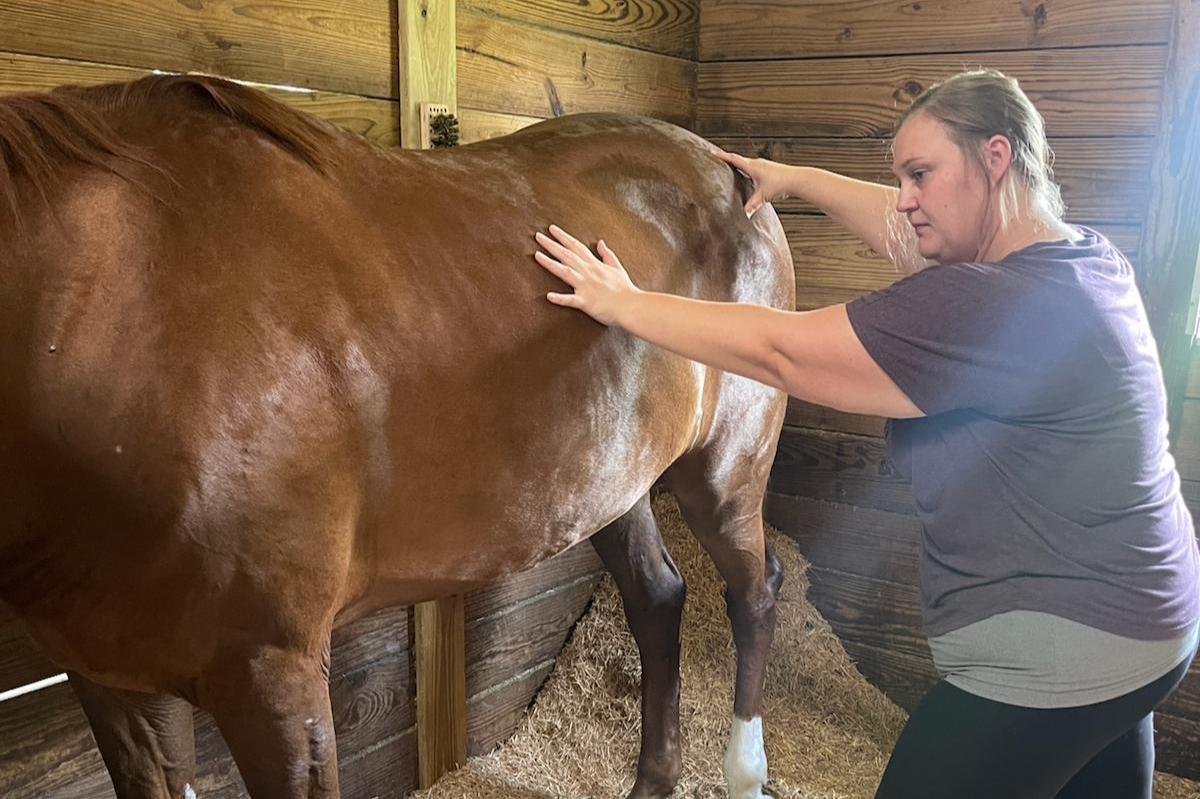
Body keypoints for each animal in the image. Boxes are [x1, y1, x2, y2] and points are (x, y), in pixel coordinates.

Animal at [0, 74, 794, 799]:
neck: (119, 315)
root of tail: (726, 170)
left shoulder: (274, 676)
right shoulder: (116, 683)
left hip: (725, 470)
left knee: (755, 592)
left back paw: (746, 772)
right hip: (611, 486)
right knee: (658, 599)